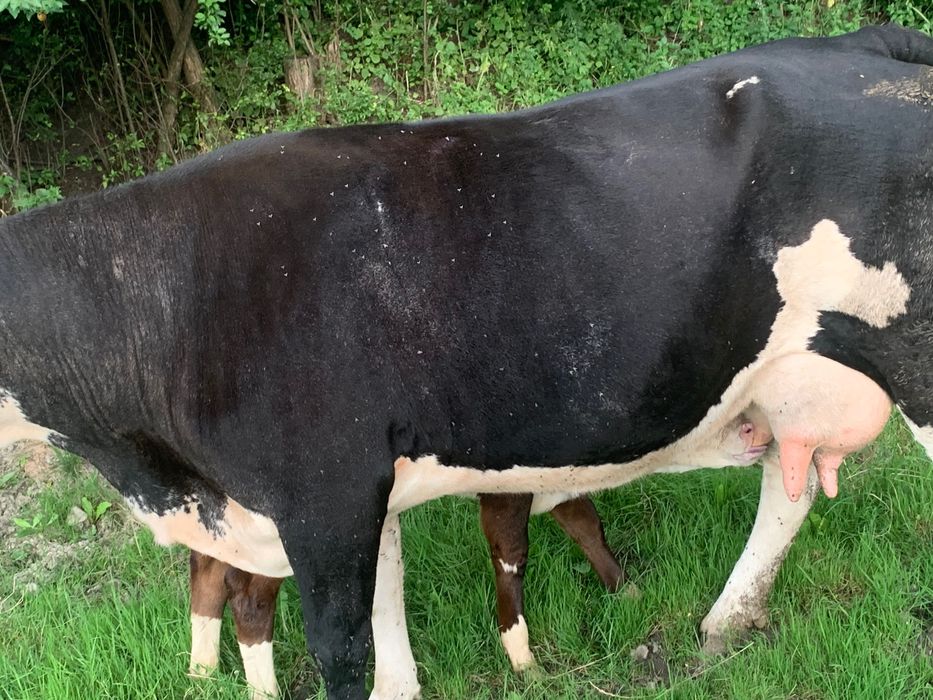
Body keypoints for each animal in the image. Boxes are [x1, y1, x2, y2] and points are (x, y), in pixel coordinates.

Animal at [1, 23, 931, 700]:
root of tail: (865, 41)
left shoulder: (325, 496)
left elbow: (343, 649)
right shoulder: (353, 489)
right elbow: (389, 632)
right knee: (789, 482)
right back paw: (725, 622)